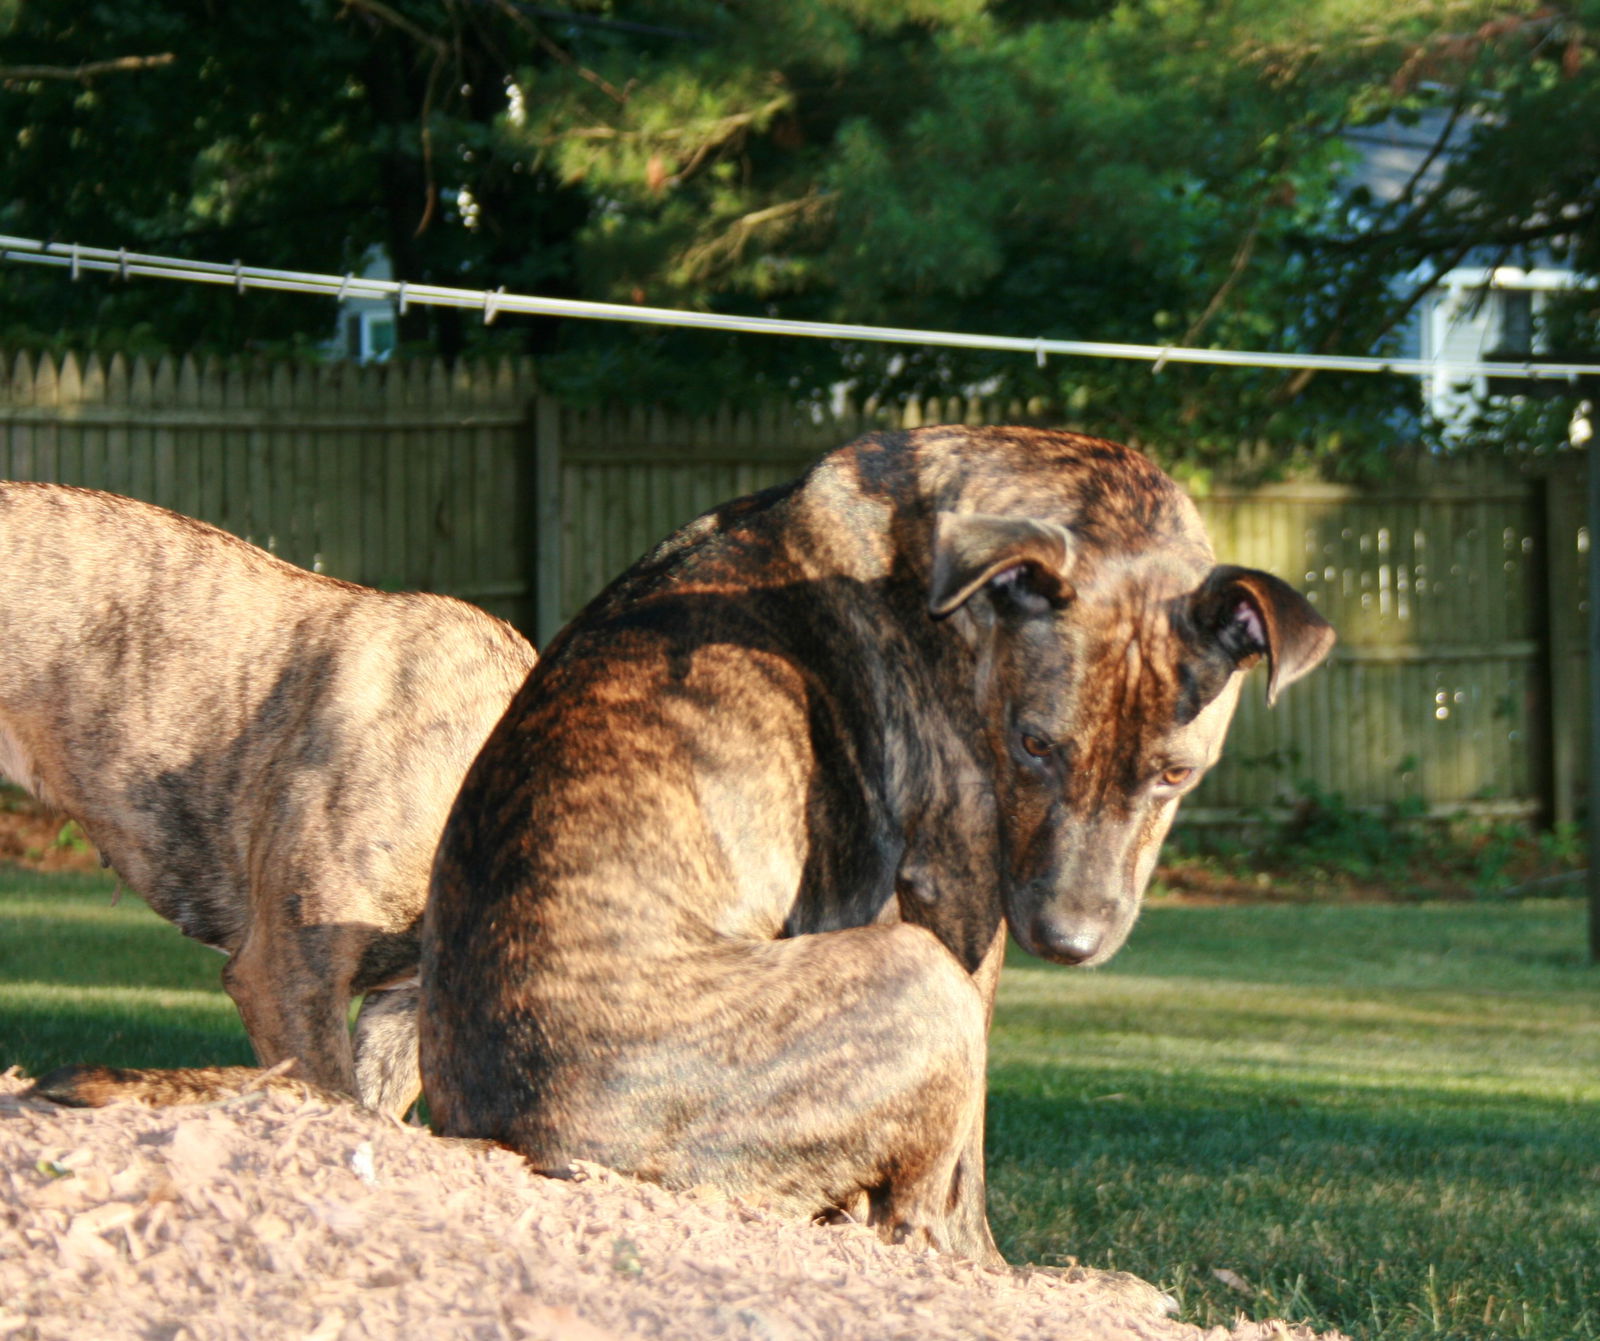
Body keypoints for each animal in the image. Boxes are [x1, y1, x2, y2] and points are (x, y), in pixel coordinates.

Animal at [416, 432, 1337, 1273]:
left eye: (1176, 773)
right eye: (1034, 743)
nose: (1067, 942)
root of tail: (519, 1135)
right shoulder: (963, 892)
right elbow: (969, 1156)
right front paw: (987, 1266)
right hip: (919, 978)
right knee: (911, 1207)